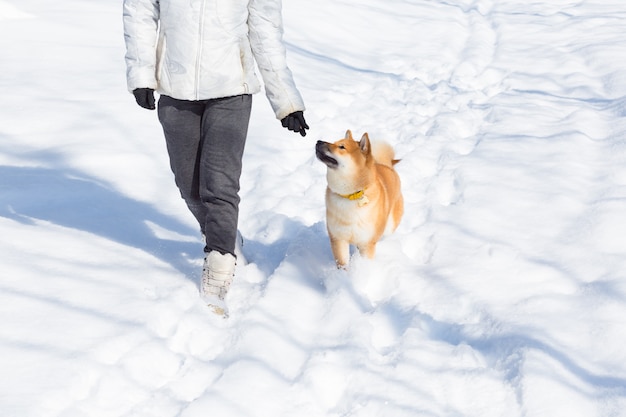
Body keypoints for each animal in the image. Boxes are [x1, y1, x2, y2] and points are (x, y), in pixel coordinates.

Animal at [314, 128, 402, 268]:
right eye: (334, 142)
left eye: (341, 147)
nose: (318, 141)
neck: (351, 195)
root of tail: (386, 165)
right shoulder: (339, 239)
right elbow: (343, 264)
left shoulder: (367, 243)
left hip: (389, 226)